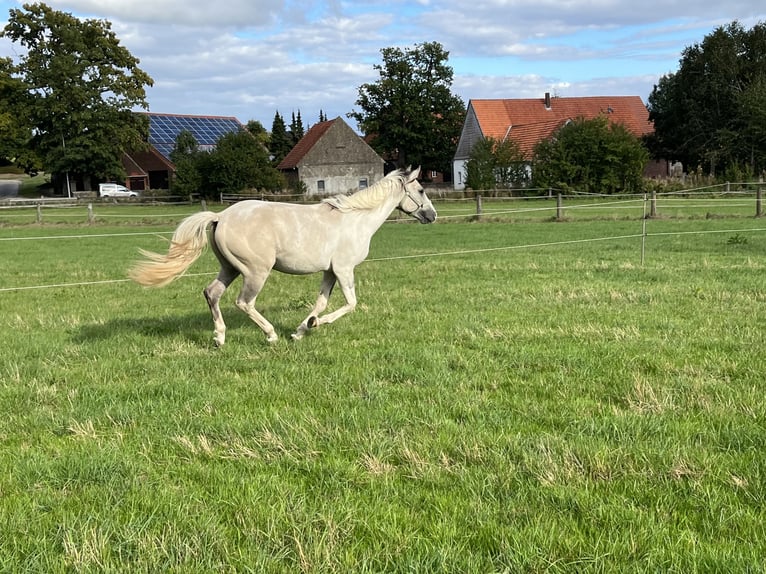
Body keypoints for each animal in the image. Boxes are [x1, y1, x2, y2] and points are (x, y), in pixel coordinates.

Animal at [129, 166, 436, 346]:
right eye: (421, 190)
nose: (432, 216)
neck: (356, 220)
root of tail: (220, 216)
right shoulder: (344, 269)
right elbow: (350, 304)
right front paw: (312, 325)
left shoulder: (330, 271)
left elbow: (321, 302)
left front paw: (302, 329)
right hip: (255, 271)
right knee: (243, 302)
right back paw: (270, 334)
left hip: (230, 268)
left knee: (212, 293)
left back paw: (219, 337)